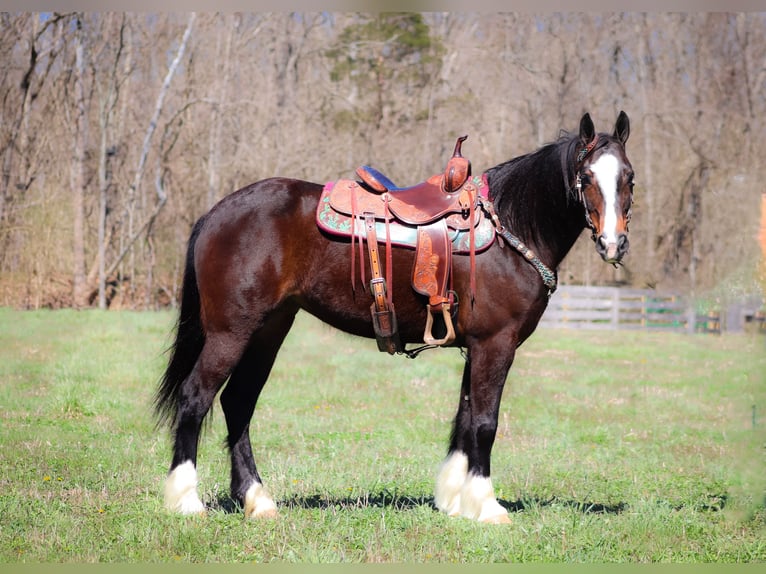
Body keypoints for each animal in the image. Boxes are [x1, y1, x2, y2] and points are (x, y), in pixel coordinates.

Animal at [154, 110, 636, 524]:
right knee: (196, 398)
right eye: (586, 177)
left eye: (628, 177)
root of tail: (216, 212)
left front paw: (453, 499)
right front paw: (486, 505)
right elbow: (485, 422)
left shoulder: (475, 347)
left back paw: (257, 499)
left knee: (238, 403)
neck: (510, 228)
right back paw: (186, 501)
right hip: (230, 332)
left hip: (268, 330)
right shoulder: (495, 344)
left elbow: (464, 418)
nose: (614, 244)